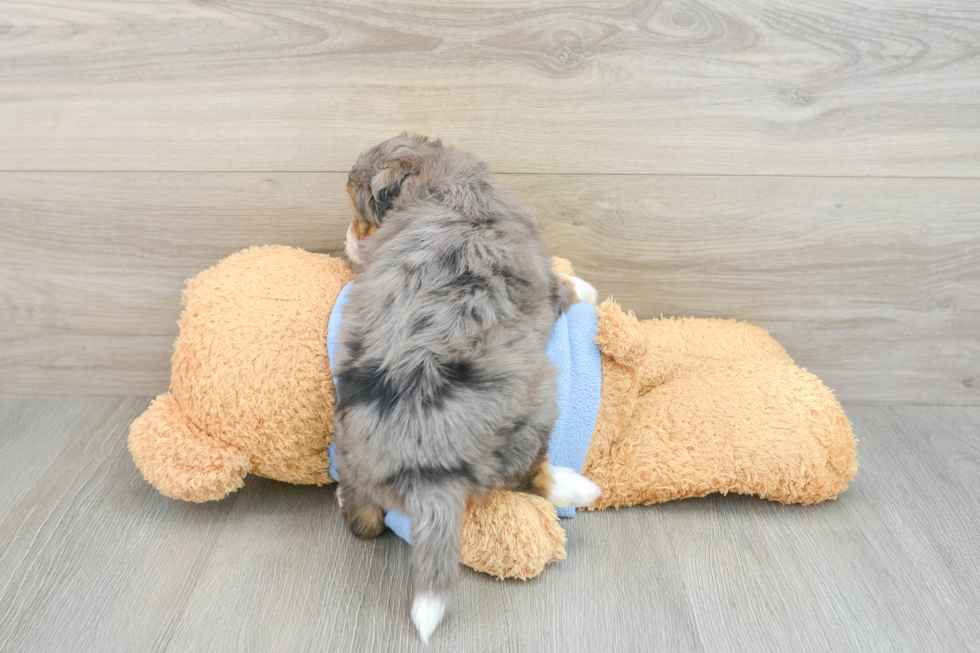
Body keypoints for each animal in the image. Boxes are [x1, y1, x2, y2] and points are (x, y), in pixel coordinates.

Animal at [334, 134, 596, 640]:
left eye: (359, 209)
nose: (347, 238)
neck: (440, 179)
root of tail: (425, 471)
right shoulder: (545, 278)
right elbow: (568, 286)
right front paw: (589, 288)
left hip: (352, 445)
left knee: (365, 521)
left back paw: (344, 499)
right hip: (533, 413)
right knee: (530, 475)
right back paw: (576, 488)